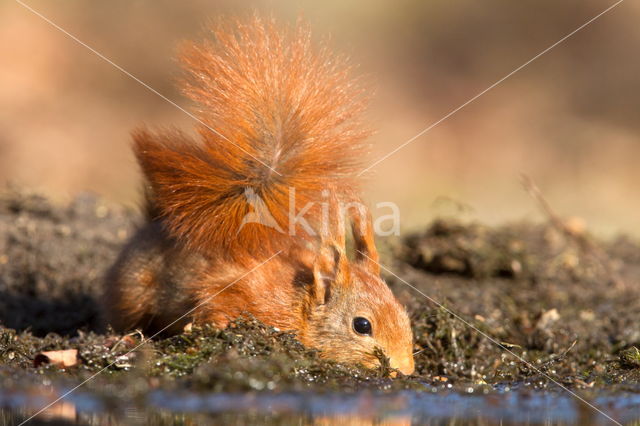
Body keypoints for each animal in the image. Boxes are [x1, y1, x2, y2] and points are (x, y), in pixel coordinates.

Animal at [105, 15, 416, 374]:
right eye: (362, 325)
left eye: (405, 313)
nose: (405, 369)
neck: (299, 301)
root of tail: (157, 220)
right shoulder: (238, 293)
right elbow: (215, 305)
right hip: (133, 288)